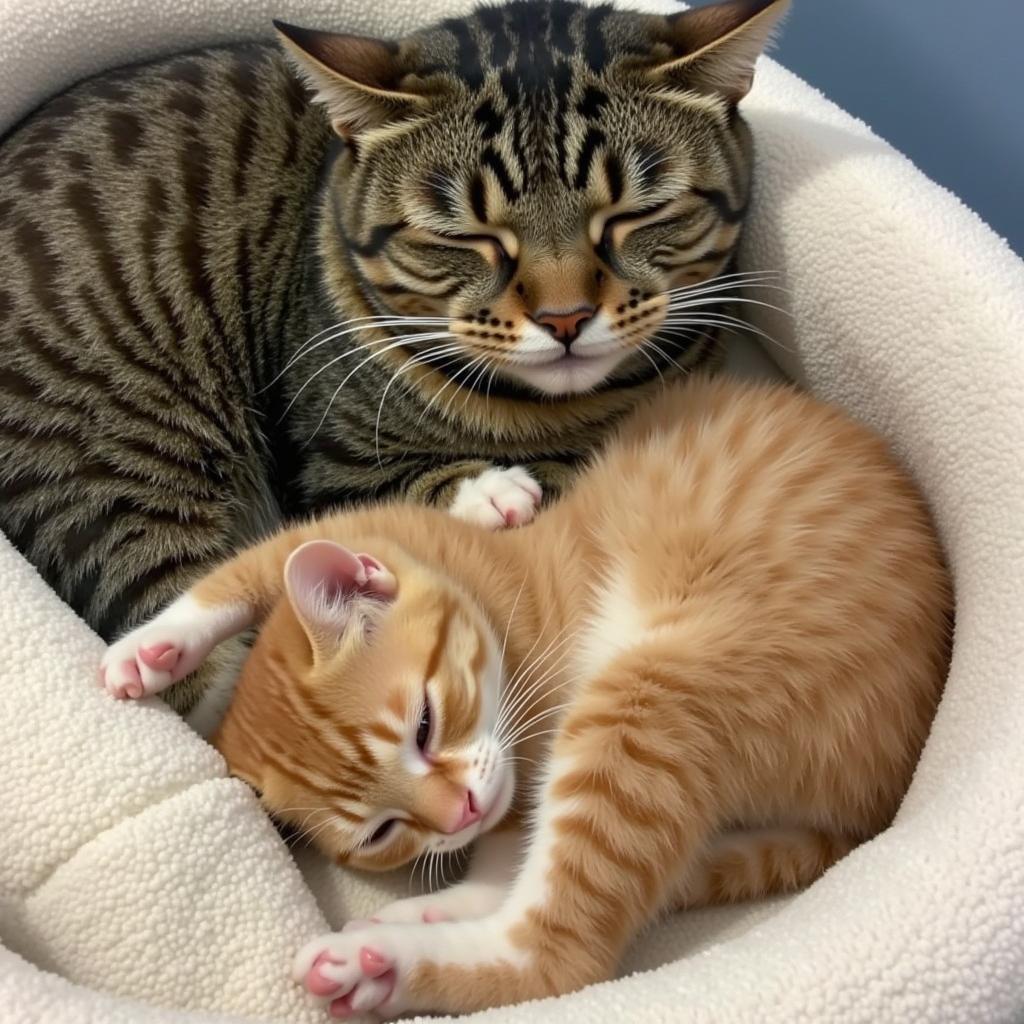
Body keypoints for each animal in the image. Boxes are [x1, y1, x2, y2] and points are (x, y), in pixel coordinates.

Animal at [0, 0, 786, 724]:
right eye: (465, 236)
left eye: (634, 215)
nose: (564, 319)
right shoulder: (329, 465)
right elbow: (394, 495)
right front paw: (493, 494)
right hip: (120, 472)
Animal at [99, 376, 946, 1015]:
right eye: (379, 834)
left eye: (424, 724)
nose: (459, 815)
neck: (503, 601)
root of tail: (879, 791)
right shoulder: (512, 777)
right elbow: (510, 846)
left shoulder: (377, 528)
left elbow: (248, 569)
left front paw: (150, 648)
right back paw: (425, 918)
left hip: (652, 696)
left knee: (558, 956)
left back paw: (385, 963)